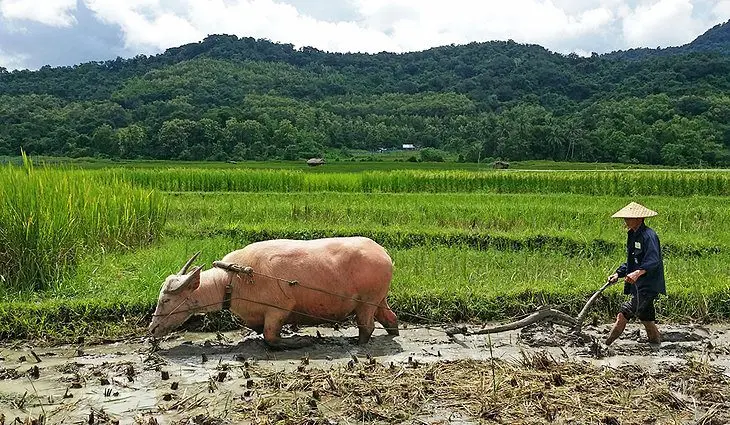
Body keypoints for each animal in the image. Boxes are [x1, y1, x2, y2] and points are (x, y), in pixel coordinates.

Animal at [148, 235, 398, 348]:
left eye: (166, 300)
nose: (152, 329)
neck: (232, 279)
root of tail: (383, 252)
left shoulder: (278, 309)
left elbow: (270, 337)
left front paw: (300, 341)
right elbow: (259, 329)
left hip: (367, 302)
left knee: (367, 326)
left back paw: (358, 342)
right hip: (379, 300)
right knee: (390, 318)